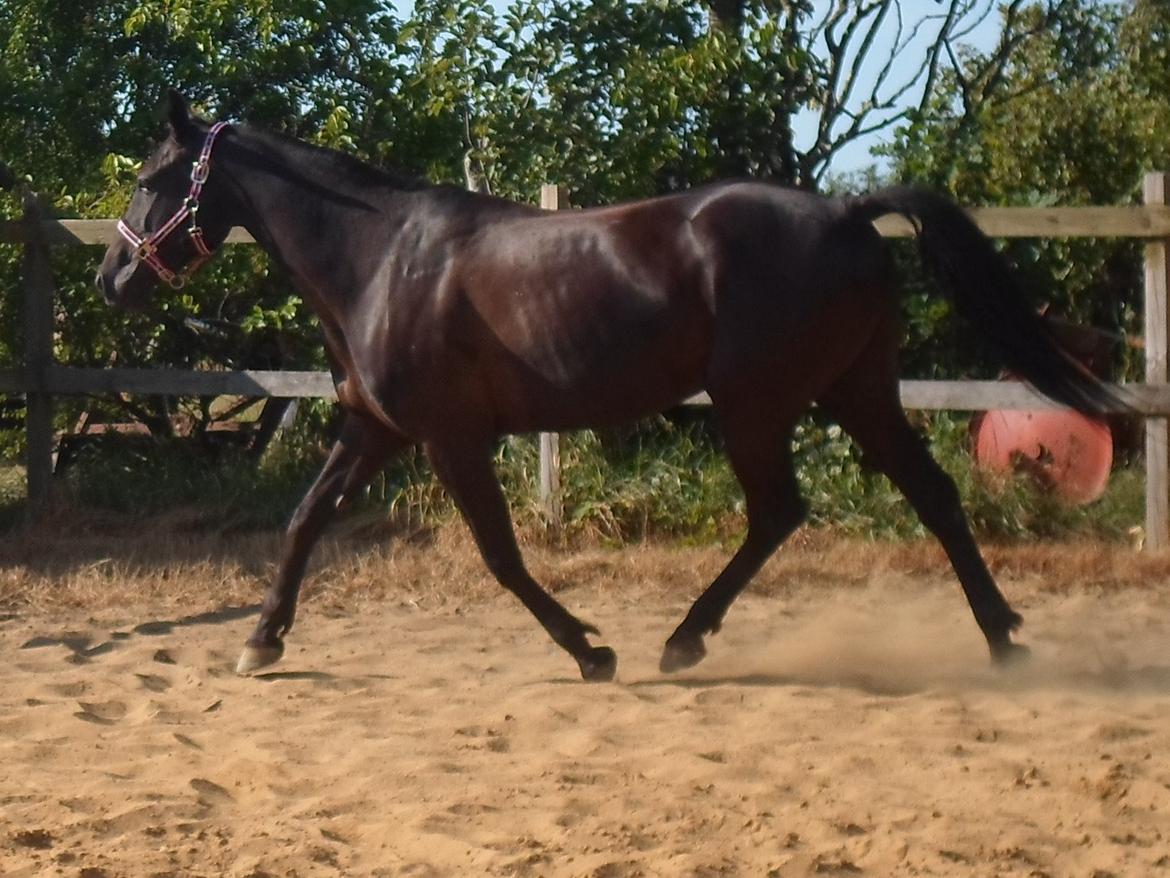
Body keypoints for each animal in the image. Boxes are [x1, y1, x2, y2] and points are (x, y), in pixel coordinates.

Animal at [95, 93, 1109, 683]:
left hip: (757, 403)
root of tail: (847, 210)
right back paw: (1003, 637)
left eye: (153, 177)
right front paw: (261, 641)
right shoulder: (374, 427)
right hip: (856, 391)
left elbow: (501, 557)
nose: (112, 277)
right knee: (930, 494)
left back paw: (682, 640)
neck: (380, 258)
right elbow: (304, 522)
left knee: (781, 510)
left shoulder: (451, 438)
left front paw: (592, 650)